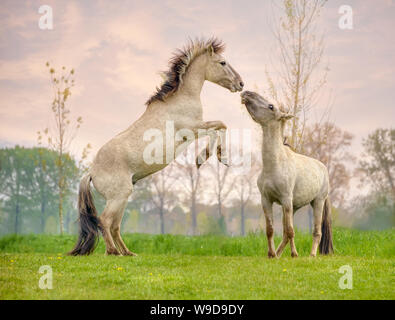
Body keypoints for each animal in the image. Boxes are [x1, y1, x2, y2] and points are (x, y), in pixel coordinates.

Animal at [70, 38, 244, 256]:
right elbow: (220, 126)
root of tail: (91, 173)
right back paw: (113, 252)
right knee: (104, 221)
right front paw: (209, 158)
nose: (241, 84)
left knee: (115, 226)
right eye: (222, 62)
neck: (181, 99)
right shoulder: (191, 129)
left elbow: (220, 127)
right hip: (119, 197)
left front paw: (213, 158)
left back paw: (128, 253)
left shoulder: (194, 131)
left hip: (122, 198)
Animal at [241, 90, 334, 258]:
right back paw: (278, 254)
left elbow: (291, 231)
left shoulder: (285, 199)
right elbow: (271, 230)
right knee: (285, 233)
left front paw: (294, 254)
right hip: (293, 206)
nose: (246, 93)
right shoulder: (266, 200)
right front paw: (271, 254)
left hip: (317, 202)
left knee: (316, 232)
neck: (274, 165)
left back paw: (311, 255)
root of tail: (323, 168)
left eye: (271, 106)